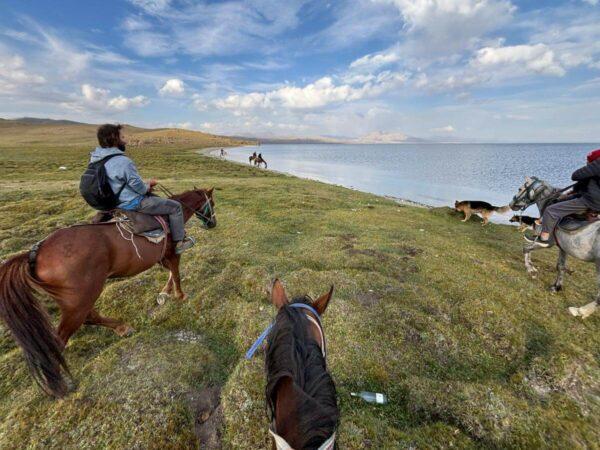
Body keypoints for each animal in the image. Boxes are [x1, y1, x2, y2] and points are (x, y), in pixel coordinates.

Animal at [0, 186, 216, 398]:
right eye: (212, 203)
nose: (213, 223)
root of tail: (35, 253)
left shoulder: (163, 256)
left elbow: (171, 274)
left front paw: (164, 293)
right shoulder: (172, 253)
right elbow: (176, 274)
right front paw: (180, 295)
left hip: (78, 298)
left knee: (89, 317)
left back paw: (122, 328)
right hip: (82, 297)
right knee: (60, 339)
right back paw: (59, 386)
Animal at [510, 176, 600, 320]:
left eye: (520, 189)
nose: (511, 204)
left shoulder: (547, 243)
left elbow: (526, 248)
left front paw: (530, 269)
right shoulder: (563, 248)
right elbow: (560, 267)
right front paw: (556, 287)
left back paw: (580, 311)